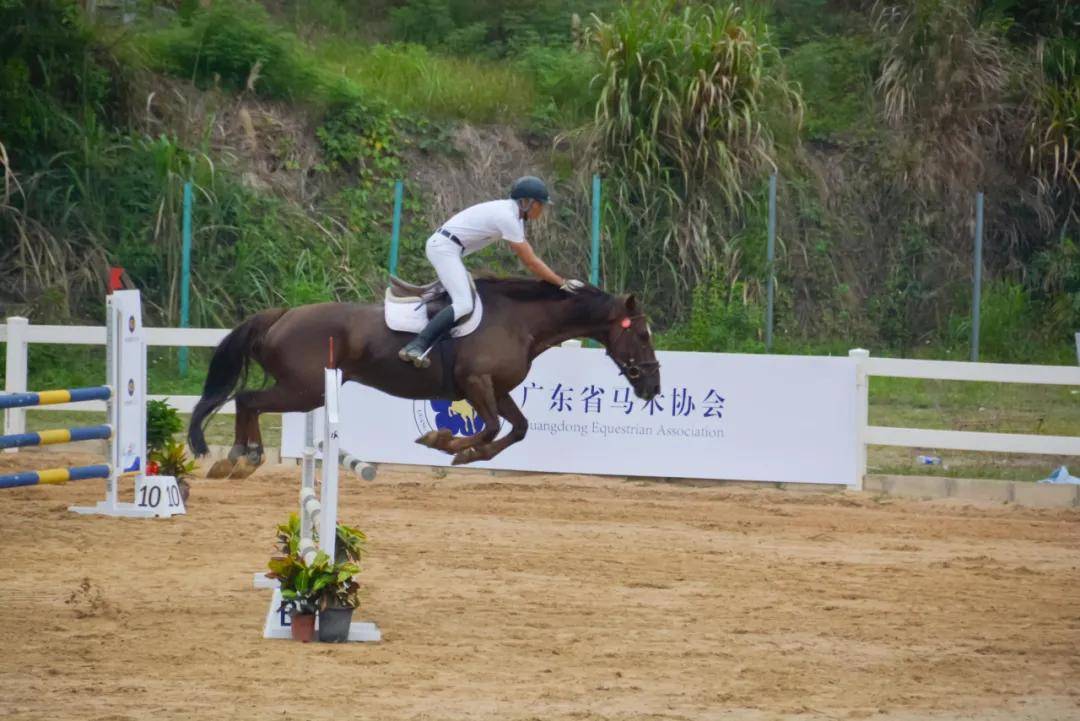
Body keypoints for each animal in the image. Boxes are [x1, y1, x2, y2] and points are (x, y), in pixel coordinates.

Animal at [187, 278, 656, 479]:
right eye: (644, 335)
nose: (653, 387)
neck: (521, 322)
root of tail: (282, 315)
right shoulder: (477, 383)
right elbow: (490, 427)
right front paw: (445, 443)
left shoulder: (497, 389)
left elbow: (517, 428)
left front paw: (464, 453)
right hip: (304, 390)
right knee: (248, 399)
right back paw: (240, 457)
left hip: (304, 390)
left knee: (246, 401)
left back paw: (241, 458)